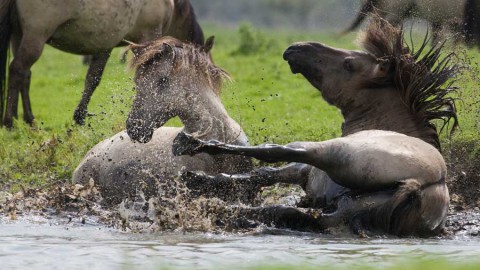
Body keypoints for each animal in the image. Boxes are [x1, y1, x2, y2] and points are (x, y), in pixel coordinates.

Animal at [0, 0, 204, 127]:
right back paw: (10, 122)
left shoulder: (104, 47)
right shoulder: (147, 39)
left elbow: (92, 80)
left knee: (25, 75)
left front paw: (80, 116)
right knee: (18, 70)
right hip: (35, 37)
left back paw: (29, 120)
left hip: (19, 37)